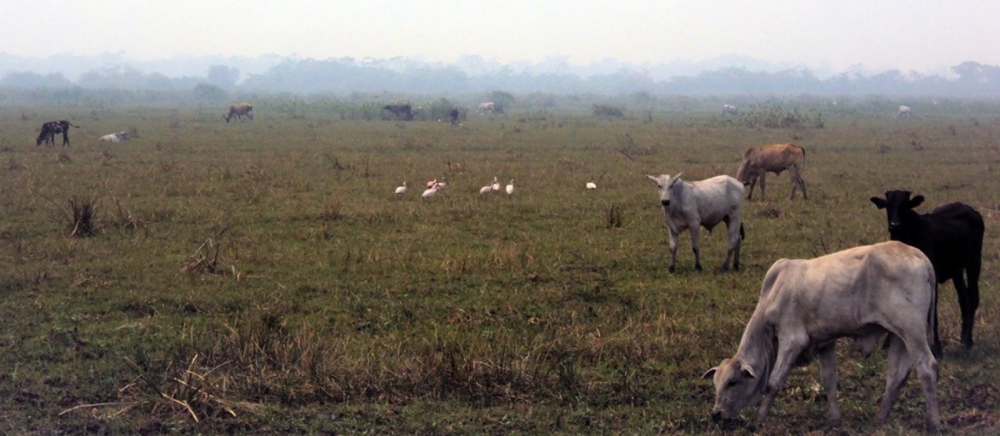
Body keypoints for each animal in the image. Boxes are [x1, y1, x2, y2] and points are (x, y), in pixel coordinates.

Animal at [704, 240, 936, 430]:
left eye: (732, 382)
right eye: (715, 383)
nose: (716, 414)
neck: (772, 292)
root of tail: (919, 255)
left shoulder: (792, 341)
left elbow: (774, 382)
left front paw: (756, 421)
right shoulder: (825, 342)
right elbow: (829, 380)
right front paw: (833, 419)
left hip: (912, 330)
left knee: (927, 368)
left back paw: (933, 424)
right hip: (899, 335)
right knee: (896, 375)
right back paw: (879, 419)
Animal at [868, 191, 984, 354]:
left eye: (905, 205)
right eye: (888, 205)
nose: (895, 225)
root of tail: (969, 209)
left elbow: (931, 311)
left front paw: (937, 348)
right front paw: (887, 345)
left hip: (974, 262)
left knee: (972, 297)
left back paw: (967, 341)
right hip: (957, 270)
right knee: (963, 299)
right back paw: (962, 339)